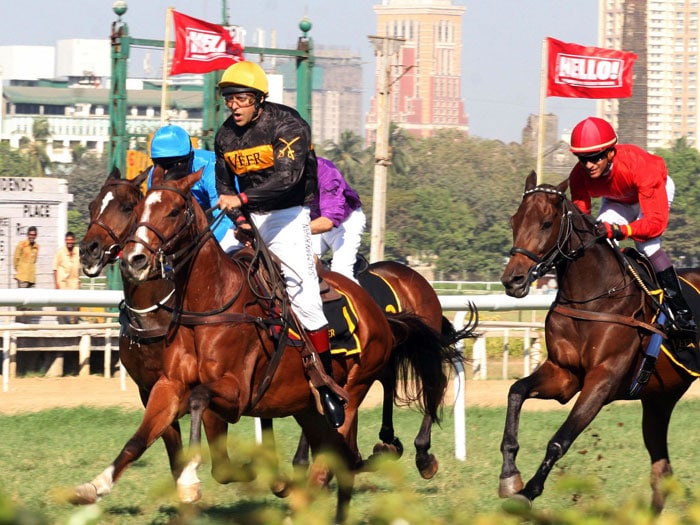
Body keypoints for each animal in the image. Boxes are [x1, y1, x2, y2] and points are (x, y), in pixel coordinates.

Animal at [71, 167, 468, 520]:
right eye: (136, 208)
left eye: (169, 211)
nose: (130, 258)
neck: (208, 306)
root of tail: (378, 311)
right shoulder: (163, 387)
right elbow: (140, 441)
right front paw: (95, 485)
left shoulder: (234, 394)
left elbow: (201, 408)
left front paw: (193, 480)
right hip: (309, 407)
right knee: (341, 459)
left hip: (351, 391)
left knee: (351, 443)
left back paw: (399, 457)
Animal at [498, 171, 700, 512]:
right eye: (515, 220)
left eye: (547, 223)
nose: (513, 280)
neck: (595, 298)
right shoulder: (564, 374)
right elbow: (516, 391)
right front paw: (509, 475)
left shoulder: (602, 380)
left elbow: (559, 440)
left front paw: (528, 492)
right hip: (661, 398)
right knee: (661, 470)